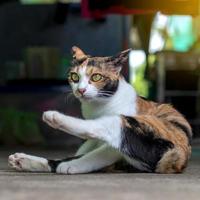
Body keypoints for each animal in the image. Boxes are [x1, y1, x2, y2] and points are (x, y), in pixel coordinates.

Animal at [8, 46, 192, 173]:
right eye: (74, 77)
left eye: (96, 77)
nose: (81, 90)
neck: (98, 106)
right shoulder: (93, 142)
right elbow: (83, 151)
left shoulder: (114, 147)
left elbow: (98, 153)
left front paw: (72, 165)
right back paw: (23, 161)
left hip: (148, 133)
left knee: (107, 127)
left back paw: (54, 119)